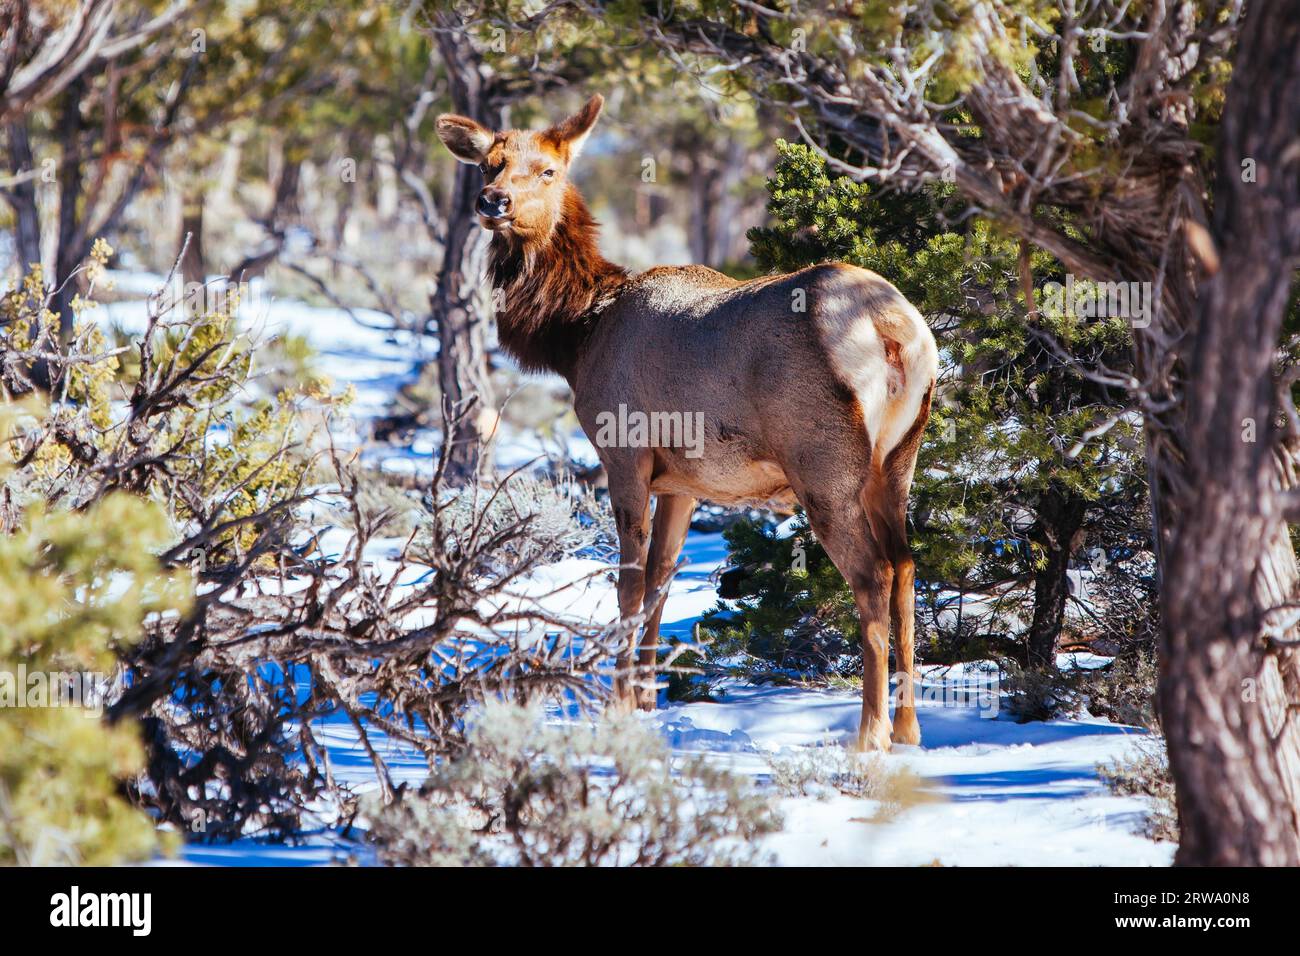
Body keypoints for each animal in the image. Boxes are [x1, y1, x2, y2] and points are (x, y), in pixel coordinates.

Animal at [436, 95, 935, 749]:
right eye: (488, 164)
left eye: (548, 169)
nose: (493, 202)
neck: (577, 335)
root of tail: (894, 332)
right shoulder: (682, 482)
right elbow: (661, 581)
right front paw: (648, 699)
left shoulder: (623, 452)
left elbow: (627, 584)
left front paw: (619, 704)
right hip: (899, 458)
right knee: (905, 565)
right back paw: (908, 728)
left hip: (824, 466)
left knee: (872, 575)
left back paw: (869, 733)